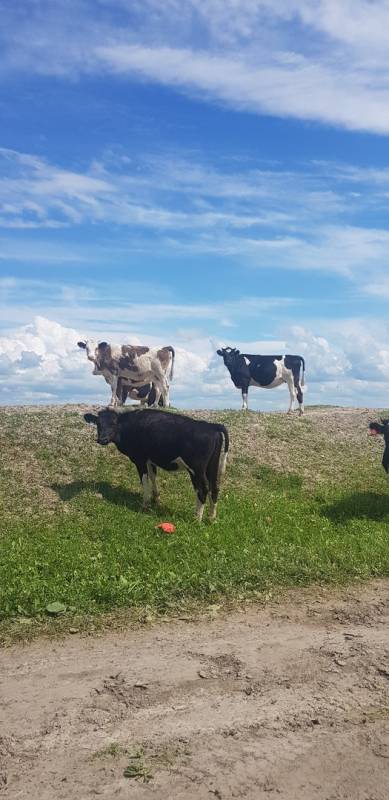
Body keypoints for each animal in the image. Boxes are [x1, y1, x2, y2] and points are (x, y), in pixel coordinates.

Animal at [83, 410, 229, 520]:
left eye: (114, 423)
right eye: (98, 423)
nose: (102, 439)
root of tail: (211, 426)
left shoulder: (140, 459)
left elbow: (144, 480)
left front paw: (145, 503)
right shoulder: (150, 460)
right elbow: (153, 477)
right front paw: (156, 498)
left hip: (196, 469)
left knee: (203, 489)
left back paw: (197, 518)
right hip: (212, 465)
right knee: (214, 487)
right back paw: (211, 517)